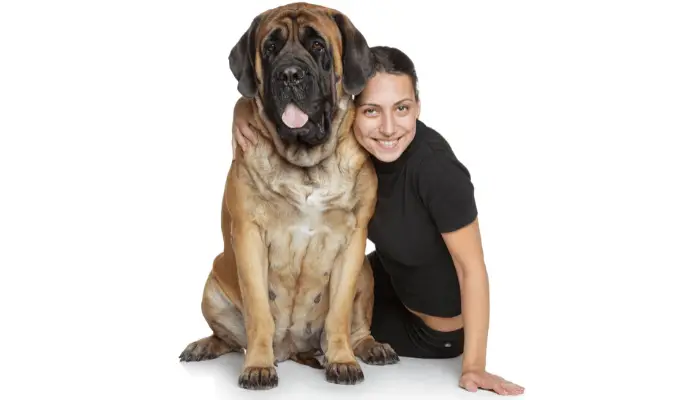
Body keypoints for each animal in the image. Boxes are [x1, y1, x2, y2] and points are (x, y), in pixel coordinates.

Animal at [179, 2, 400, 390]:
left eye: (318, 46)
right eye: (270, 48)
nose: (290, 74)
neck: (306, 165)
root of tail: (293, 348)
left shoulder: (352, 242)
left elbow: (339, 313)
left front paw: (342, 361)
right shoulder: (249, 237)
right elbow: (258, 313)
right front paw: (257, 366)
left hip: (365, 274)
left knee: (358, 327)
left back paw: (371, 348)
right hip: (212, 287)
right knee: (228, 338)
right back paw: (205, 346)